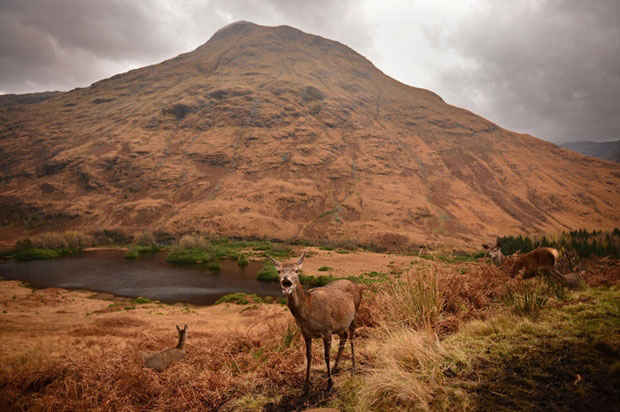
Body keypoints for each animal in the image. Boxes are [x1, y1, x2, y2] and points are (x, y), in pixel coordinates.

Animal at [268, 253, 360, 394]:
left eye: (296, 270)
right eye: (279, 271)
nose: (286, 280)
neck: (308, 311)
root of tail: (355, 285)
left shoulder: (327, 329)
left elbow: (326, 356)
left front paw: (329, 384)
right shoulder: (305, 333)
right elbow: (308, 356)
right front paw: (306, 385)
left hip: (354, 314)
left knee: (352, 338)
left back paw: (354, 368)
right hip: (340, 325)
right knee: (344, 337)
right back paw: (335, 368)